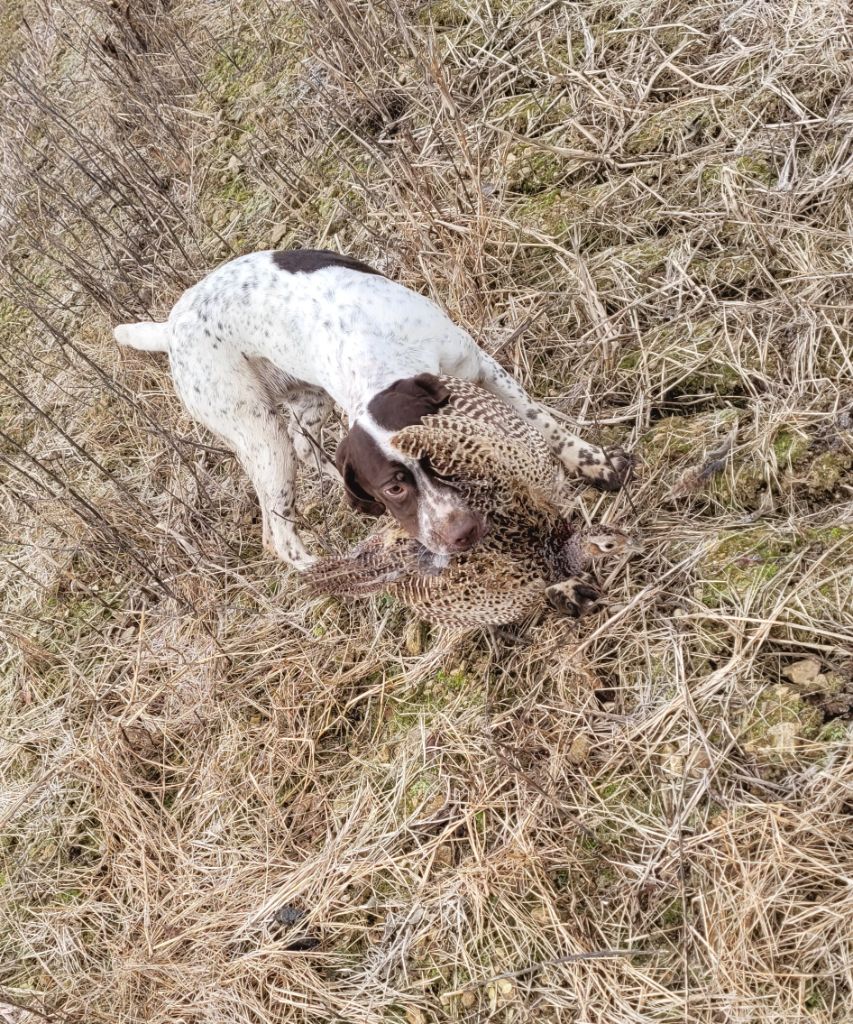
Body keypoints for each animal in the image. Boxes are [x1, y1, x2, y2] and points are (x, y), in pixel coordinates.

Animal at [113, 248, 630, 569]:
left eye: (443, 459)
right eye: (393, 489)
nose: (457, 534)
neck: (380, 357)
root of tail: (169, 328)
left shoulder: (480, 367)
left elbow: (543, 423)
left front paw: (594, 464)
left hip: (308, 400)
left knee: (306, 446)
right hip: (260, 438)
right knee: (278, 533)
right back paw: (322, 569)